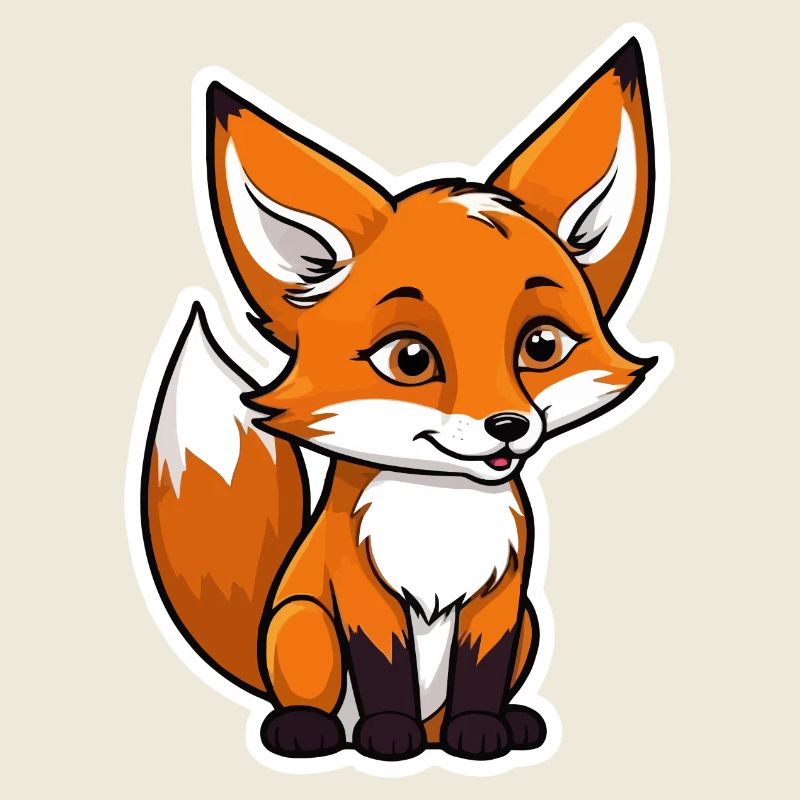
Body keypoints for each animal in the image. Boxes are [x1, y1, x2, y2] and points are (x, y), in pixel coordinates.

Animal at [141, 36, 665, 763]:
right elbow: (384, 669)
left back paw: (484, 728)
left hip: (531, 621)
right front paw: (388, 736)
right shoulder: (362, 592)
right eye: (410, 359)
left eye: (541, 345)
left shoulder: (501, 598)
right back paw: (311, 729)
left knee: (453, 708)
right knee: (313, 697)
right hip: (303, 622)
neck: (437, 510)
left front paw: (479, 733)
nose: (508, 425)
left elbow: (480, 675)